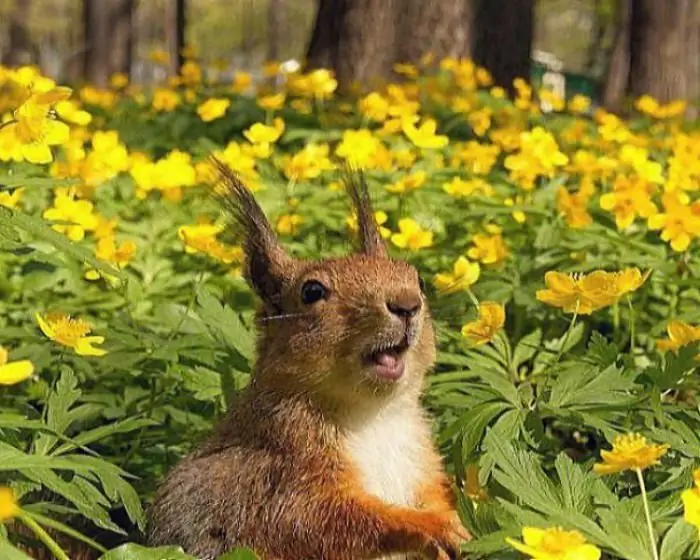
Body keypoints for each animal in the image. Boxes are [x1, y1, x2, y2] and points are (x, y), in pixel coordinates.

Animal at [145, 159, 468, 560]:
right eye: (312, 291)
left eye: (418, 279)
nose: (407, 304)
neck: (374, 415)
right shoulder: (278, 479)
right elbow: (322, 521)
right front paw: (432, 525)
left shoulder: (420, 461)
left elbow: (433, 493)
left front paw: (454, 521)